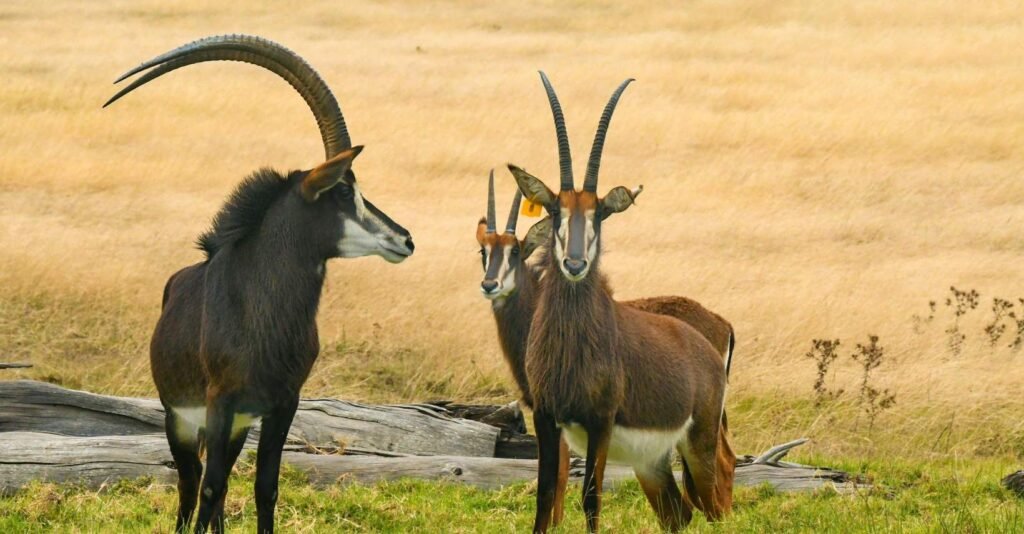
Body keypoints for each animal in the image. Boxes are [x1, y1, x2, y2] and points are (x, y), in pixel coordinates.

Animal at [105, 35, 414, 533]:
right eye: (343, 190)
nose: (405, 239)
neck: (262, 311)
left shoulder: (281, 405)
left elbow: (265, 487)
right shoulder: (220, 403)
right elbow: (209, 489)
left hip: (234, 427)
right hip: (182, 421)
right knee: (191, 485)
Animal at [476, 173, 736, 528]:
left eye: (515, 252)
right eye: (483, 251)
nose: (490, 285)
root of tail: (722, 322)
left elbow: (560, 477)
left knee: (723, 462)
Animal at [508, 72, 734, 532]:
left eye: (599, 213)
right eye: (555, 211)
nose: (575, 263)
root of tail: (707, 344)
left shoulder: (601, 420)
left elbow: (591, 498)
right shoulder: (545, 418)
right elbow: (544, 498)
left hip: (699, 445)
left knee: (717, 505)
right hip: (653, 463)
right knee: (679, 514)